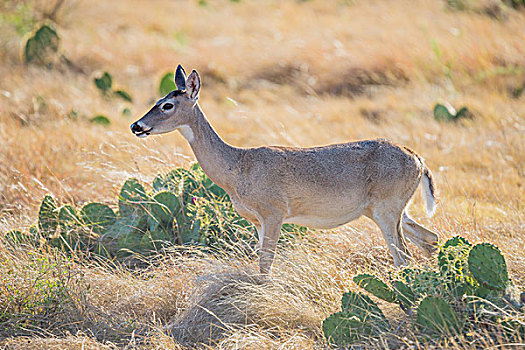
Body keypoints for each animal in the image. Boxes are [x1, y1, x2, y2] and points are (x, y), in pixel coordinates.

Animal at [130, 65, 438, 274]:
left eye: (167, 105)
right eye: (156, 101)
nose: (136, 126)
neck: (237, 168)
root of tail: (418, 160)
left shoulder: (274, 212)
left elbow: (265, 266)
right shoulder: (256, 220)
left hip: (387, 207)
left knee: (404, 257)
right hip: (388, 209)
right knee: (429, 239)